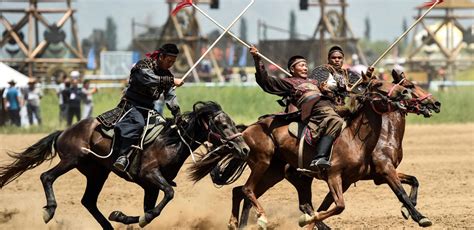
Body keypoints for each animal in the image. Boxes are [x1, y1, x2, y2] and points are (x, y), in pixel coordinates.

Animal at [0, 101, 250, 229]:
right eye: (221, 125)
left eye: (232, 124)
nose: (244, 149)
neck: (171, 141)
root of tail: (65, 131)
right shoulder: (150, 176)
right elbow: (166, 196)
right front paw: (136, 219)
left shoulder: (150, 187)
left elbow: (151, 210)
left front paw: (121, 216)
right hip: (72, 159)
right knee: (47, 177)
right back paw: (49, 210)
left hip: (97, 173)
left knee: (88, 201)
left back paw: (110, 226)